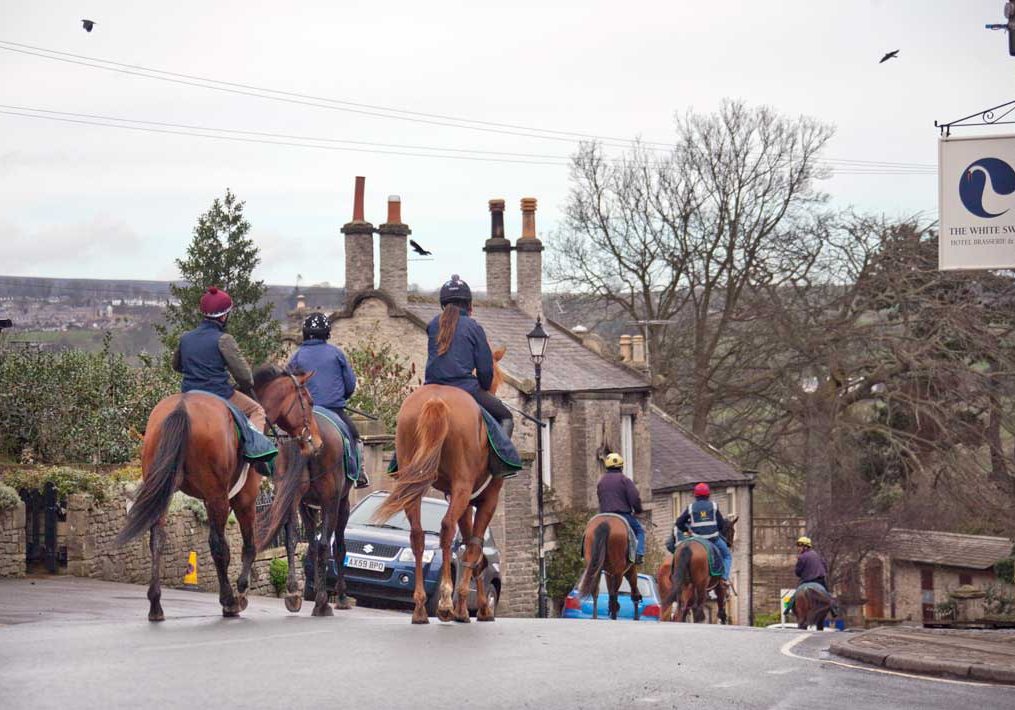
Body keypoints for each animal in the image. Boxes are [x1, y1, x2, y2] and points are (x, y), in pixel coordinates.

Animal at [115, 365, 322, 620]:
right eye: (309, 402)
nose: (317, 443)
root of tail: (182, 407)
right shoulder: (244, 498)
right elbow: (249, 545)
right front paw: (244, 592)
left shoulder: (212, 499)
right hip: (219, 497)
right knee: (217, 546)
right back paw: (228, 600)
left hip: (167, 490)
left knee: (158, 539)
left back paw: (156, 604)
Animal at [255, 365, 355, 616]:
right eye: (308, 401)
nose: (315, 443)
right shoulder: (341, 502)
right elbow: (336, 547)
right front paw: (339, 596)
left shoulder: (303, 504)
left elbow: (307, 543)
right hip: (332, 500)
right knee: (326, 545)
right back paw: (322, 602)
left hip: (294, 498)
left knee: (292, 539)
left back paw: (293, 593)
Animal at [371, 346, 505, 624]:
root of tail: (436, 400)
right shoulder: (485, 499)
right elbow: (473, 547)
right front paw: (475, 607)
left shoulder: (462, 500)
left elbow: (470, 547)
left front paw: (466, 605)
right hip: (461, 486)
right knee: (445, 529)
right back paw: (444, 602)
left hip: (414, 483)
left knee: (418, 535)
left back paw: (420, 608)